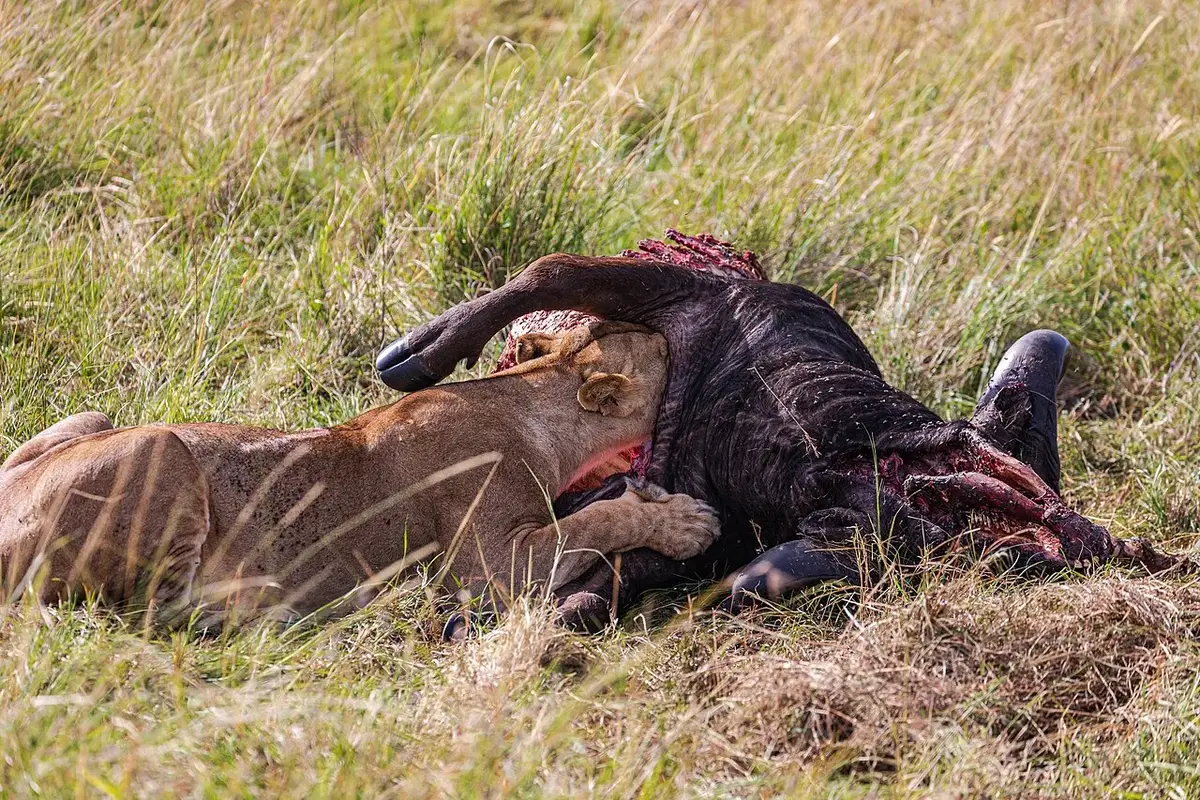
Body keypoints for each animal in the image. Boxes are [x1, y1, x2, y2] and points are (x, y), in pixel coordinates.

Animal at [0, 322, 718, 624]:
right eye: (660, 344)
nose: (678, 335)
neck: (532, 398)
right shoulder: (487, 566)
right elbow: (596, 519)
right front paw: (682, 520)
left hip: (92, 419)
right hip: (162, 450)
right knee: (146, 614)